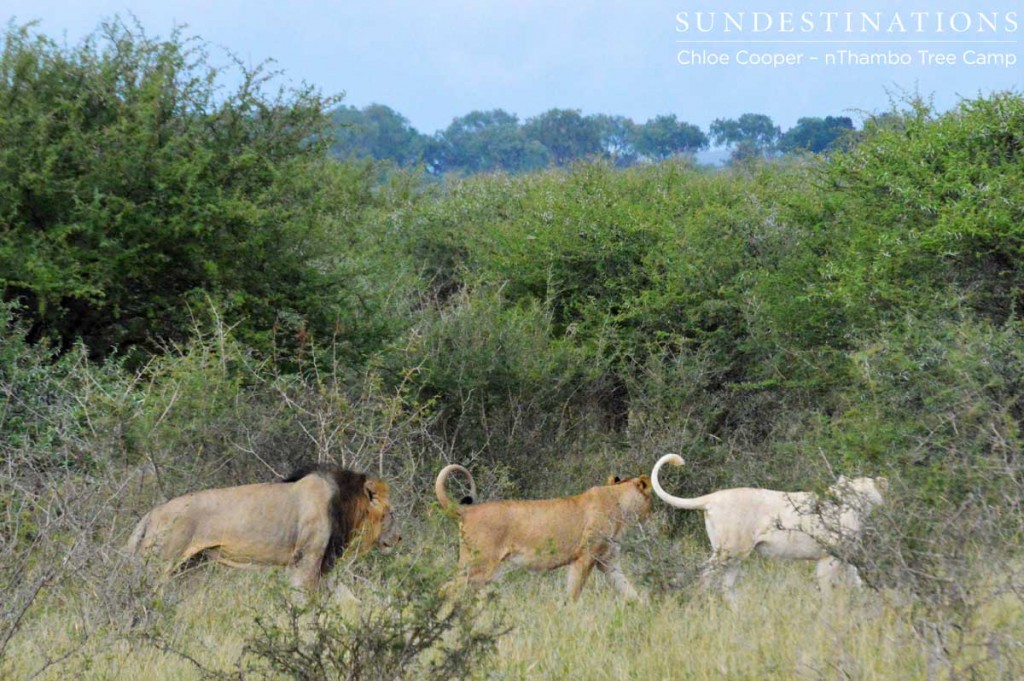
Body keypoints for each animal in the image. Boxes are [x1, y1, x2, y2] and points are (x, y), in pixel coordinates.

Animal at [124, 462, 399, 589]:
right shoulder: (307, 560)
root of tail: (151, 514)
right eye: (392, 513)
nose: (399, 539)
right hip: (160, 565)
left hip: (188, 566)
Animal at [436, 462, 651, 602]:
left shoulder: (608, 562)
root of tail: (467, 510)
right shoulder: (584, 557)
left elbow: (630, 592)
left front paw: (646, 612)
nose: (652, 514)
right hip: (479, 566)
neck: (620, 503)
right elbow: (573, 595)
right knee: (446, 589)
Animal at [651, 456, 884, 593]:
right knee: (705, 577)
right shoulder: (829, 557)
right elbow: (828, 590)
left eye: (864, 493)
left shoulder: (847, 556)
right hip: (728, 550)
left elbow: (857, 582)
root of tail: (713, 497)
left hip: (736, 555)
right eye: (852, 492)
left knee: (727, 586)